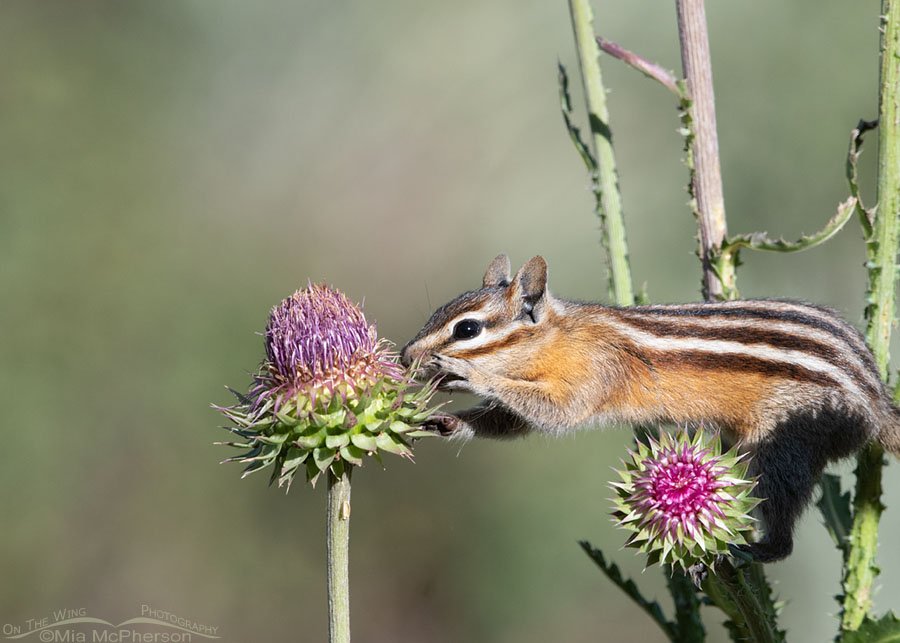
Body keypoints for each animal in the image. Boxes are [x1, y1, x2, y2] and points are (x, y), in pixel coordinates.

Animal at [400, 254, 900, 563]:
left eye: (467, 329)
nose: (406, 357)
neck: (559, 337)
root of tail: (877, 402)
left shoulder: (592, 376)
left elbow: (553, 413)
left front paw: (468, 374)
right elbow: (513, 420)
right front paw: (445, 422)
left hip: (782, 448)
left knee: (782, 526)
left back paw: (755, 551)